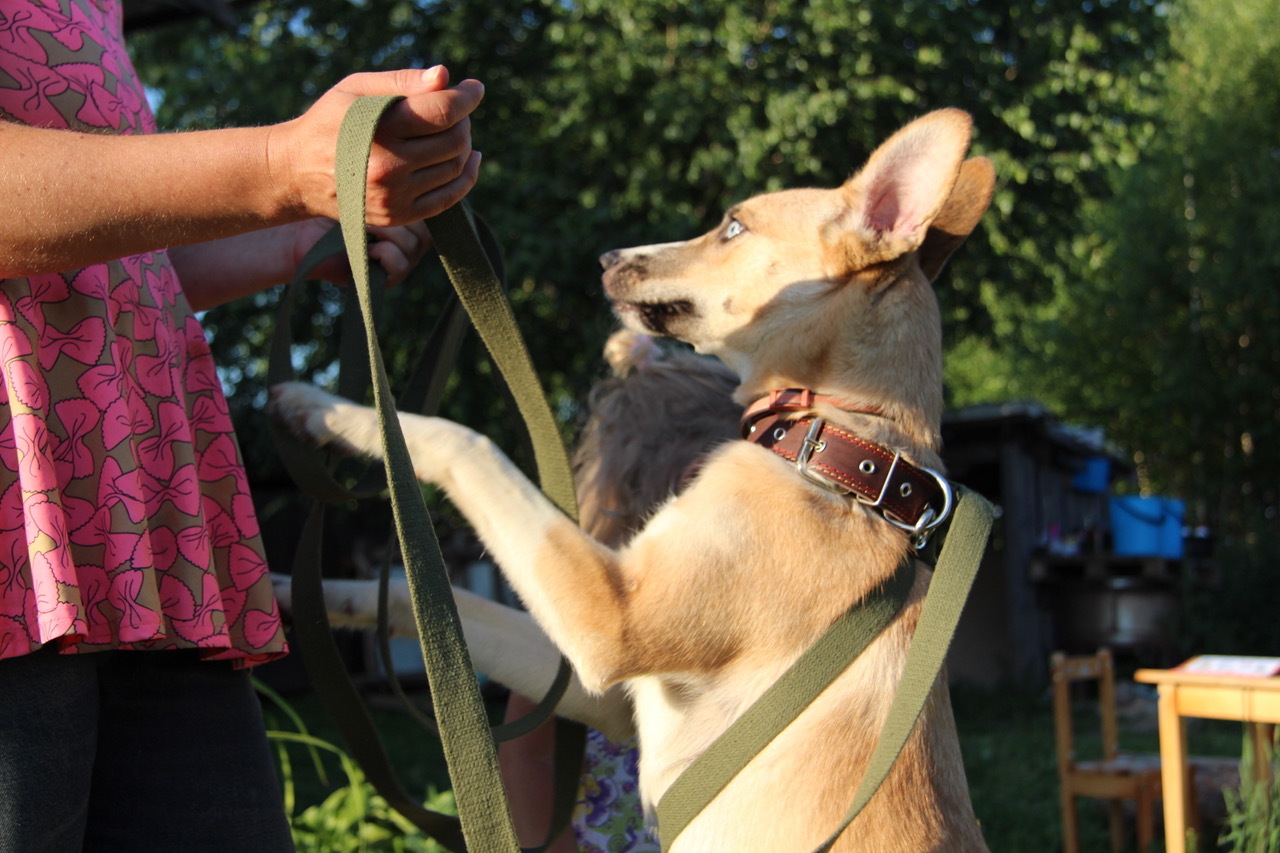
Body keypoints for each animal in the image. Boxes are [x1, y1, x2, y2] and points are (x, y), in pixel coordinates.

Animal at [267, 109, 988, 845]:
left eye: (733, 226)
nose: (606, 259)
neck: (839, 454)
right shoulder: (611, 696)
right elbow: (449, 604)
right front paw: (296, 595)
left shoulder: (612, 617)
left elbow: (463, 441)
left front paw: (323, 408)